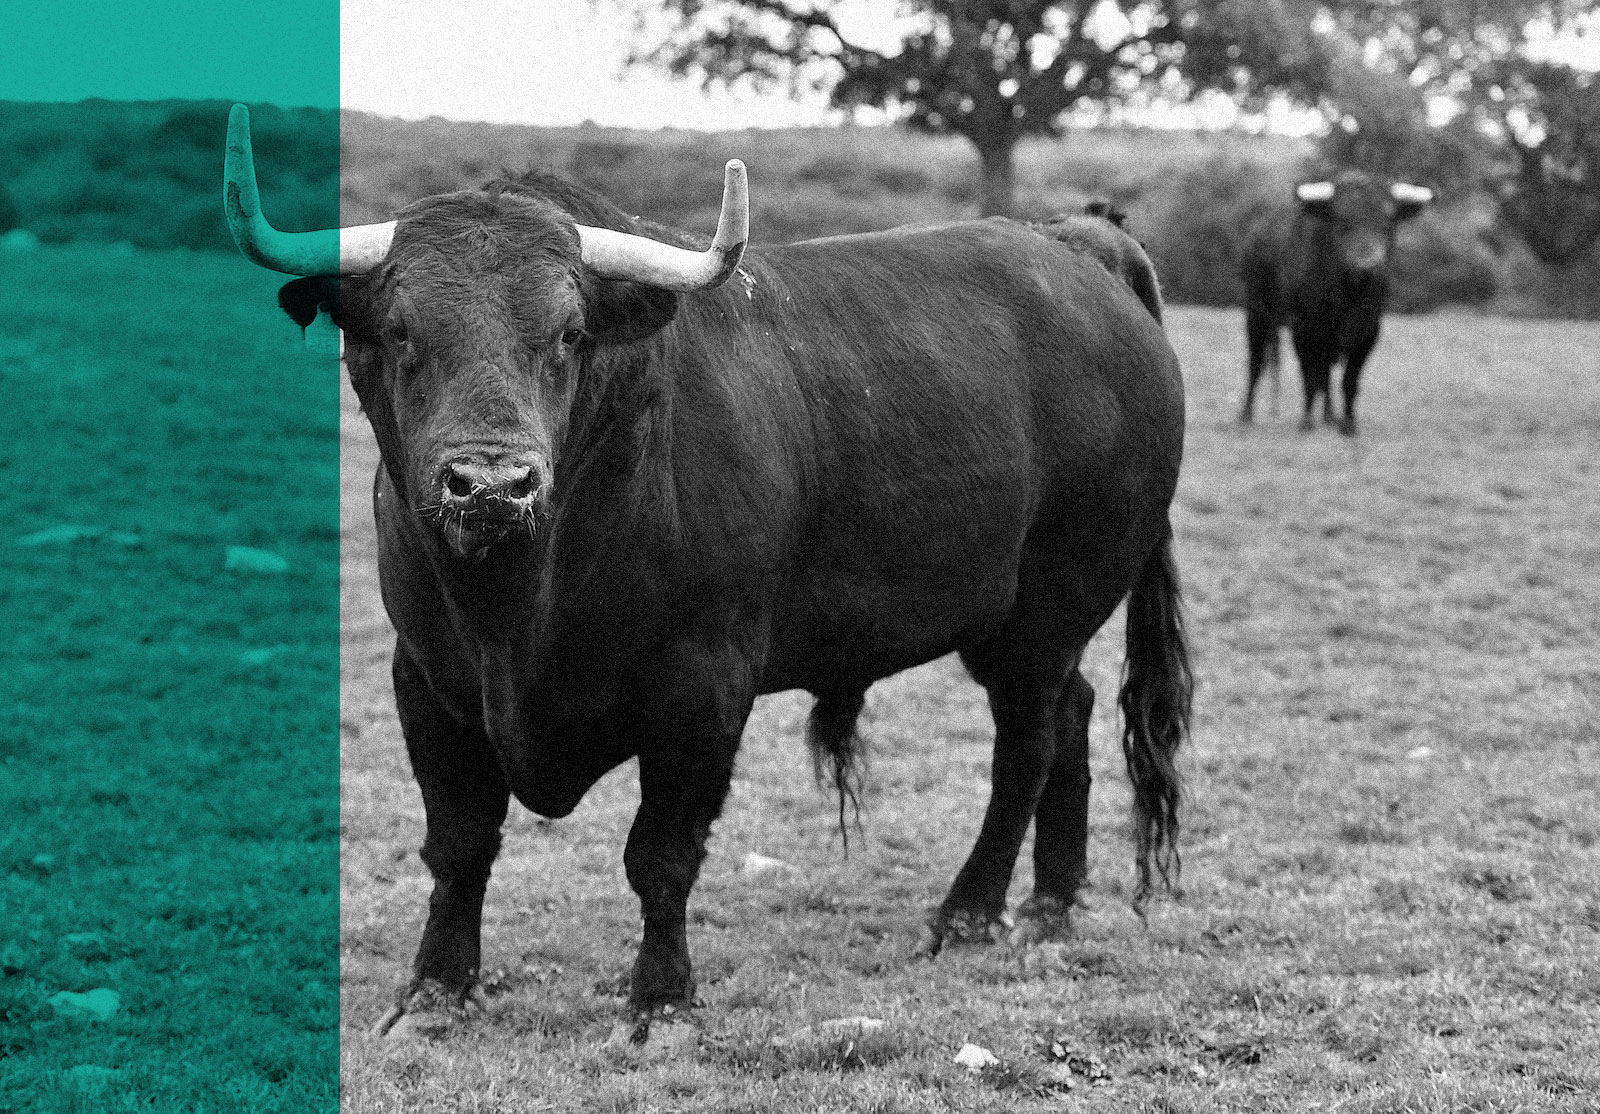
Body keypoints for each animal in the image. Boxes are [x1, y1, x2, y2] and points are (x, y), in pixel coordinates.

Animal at [222, 104, 1192, 1048]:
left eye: (569, 333)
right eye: (400, 331)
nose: (491, 484)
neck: (517, 607)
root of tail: (1078, 245)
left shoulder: (702, 689)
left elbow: (661, 855)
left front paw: (660, 1000)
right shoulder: (425, 679)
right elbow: (459, 842)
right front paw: (434, 991)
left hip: (1045, 612)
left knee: (1026, 745)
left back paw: (969, 913)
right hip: (1036, 626)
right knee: (1071, 716)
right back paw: (1053, 903)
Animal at [1240, 170, 1433, 435]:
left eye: (1387, 223)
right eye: (1342, 222)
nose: (1368, 265)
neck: (1347, 298)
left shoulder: (1369, 332)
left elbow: (1349, 380)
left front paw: (1348, 423)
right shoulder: (1303, 330)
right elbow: (1309, 377)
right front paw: (1306, 421)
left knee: (1325, 374)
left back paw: (1330, 417)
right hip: (1257, 313)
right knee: (1256, 362)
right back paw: (1246, 415)